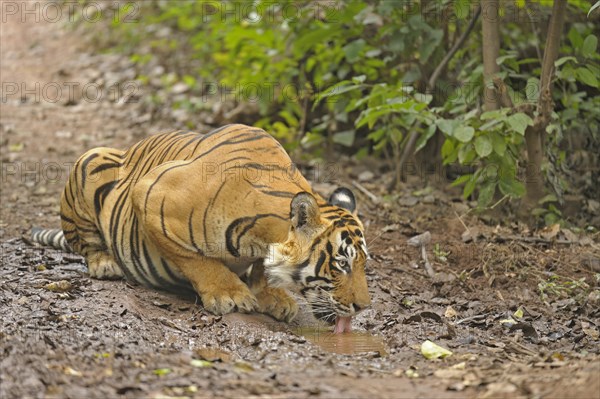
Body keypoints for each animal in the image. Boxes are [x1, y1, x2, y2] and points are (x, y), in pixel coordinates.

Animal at [32, 123, 372, 332]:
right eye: (341, 264)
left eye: (363, 264)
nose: (363, 307)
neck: (262, 237)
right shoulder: (150, 196)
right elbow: (197, 261)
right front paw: (229, 294)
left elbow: (261, 268)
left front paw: (271, 296)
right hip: (91, 159)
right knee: (86, 242)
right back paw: (105, 262)